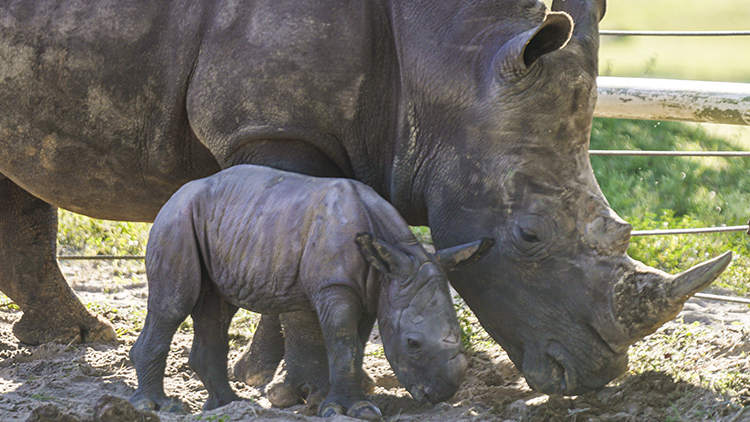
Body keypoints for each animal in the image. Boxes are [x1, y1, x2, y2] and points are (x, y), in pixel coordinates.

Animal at [130, 164, 488, 418]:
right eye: (413, 343)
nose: (442, 394)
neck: (399, 254)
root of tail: (175, 194)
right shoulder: (336, 286)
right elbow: (344, 344)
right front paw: (353, 410)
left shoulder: (374, 289)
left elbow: (355, 345)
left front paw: (330, 402)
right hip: (176, 220)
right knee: (174, 303)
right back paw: (158, 407)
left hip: (229, 224)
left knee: (216, 309)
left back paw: (227, 405)